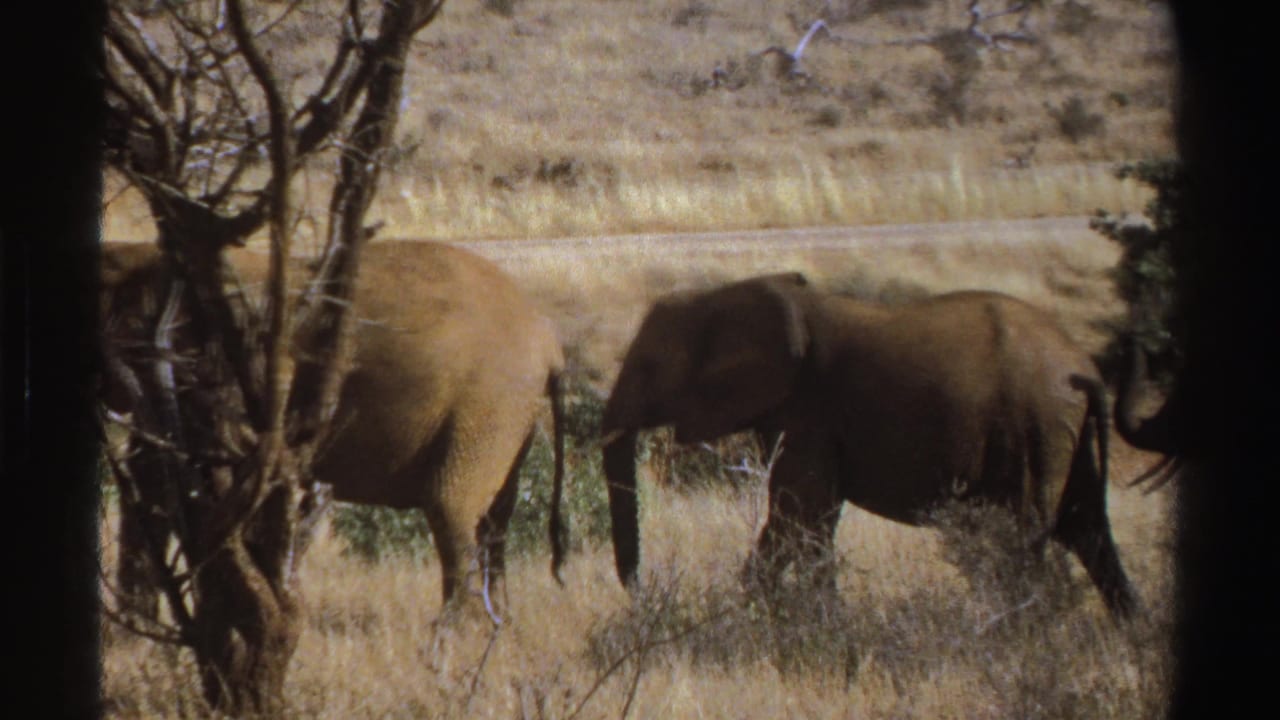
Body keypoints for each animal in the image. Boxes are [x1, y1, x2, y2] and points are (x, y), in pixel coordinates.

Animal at [100, 240, 567, 623]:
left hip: (487, 403)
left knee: (452, 505)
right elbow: (152, 474)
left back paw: (461, 634)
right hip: (507, 412)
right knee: (496, 516)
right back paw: (496, 624)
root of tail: (548, 340)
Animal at [600, 272, 1139, 619]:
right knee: (1088, 528)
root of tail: (1084, 368)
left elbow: (799, 515)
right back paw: (1129, 633)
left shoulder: (810, 409)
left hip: (1033, 426)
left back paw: (1029, 633)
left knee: (1026, 535)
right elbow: (811, 519)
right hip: (1061, 432)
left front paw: (800, 622)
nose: (641, 595)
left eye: (648, 366)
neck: (724, 293)